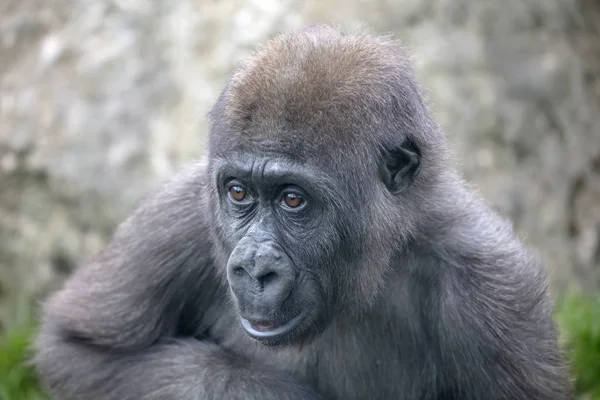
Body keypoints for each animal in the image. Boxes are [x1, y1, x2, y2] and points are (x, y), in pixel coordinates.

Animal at [32, 24, 572, 400]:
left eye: (294, 199)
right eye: (239, 193)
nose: (255, 268)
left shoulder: (492, 289)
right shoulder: (180, 215)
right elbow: (77, 351)